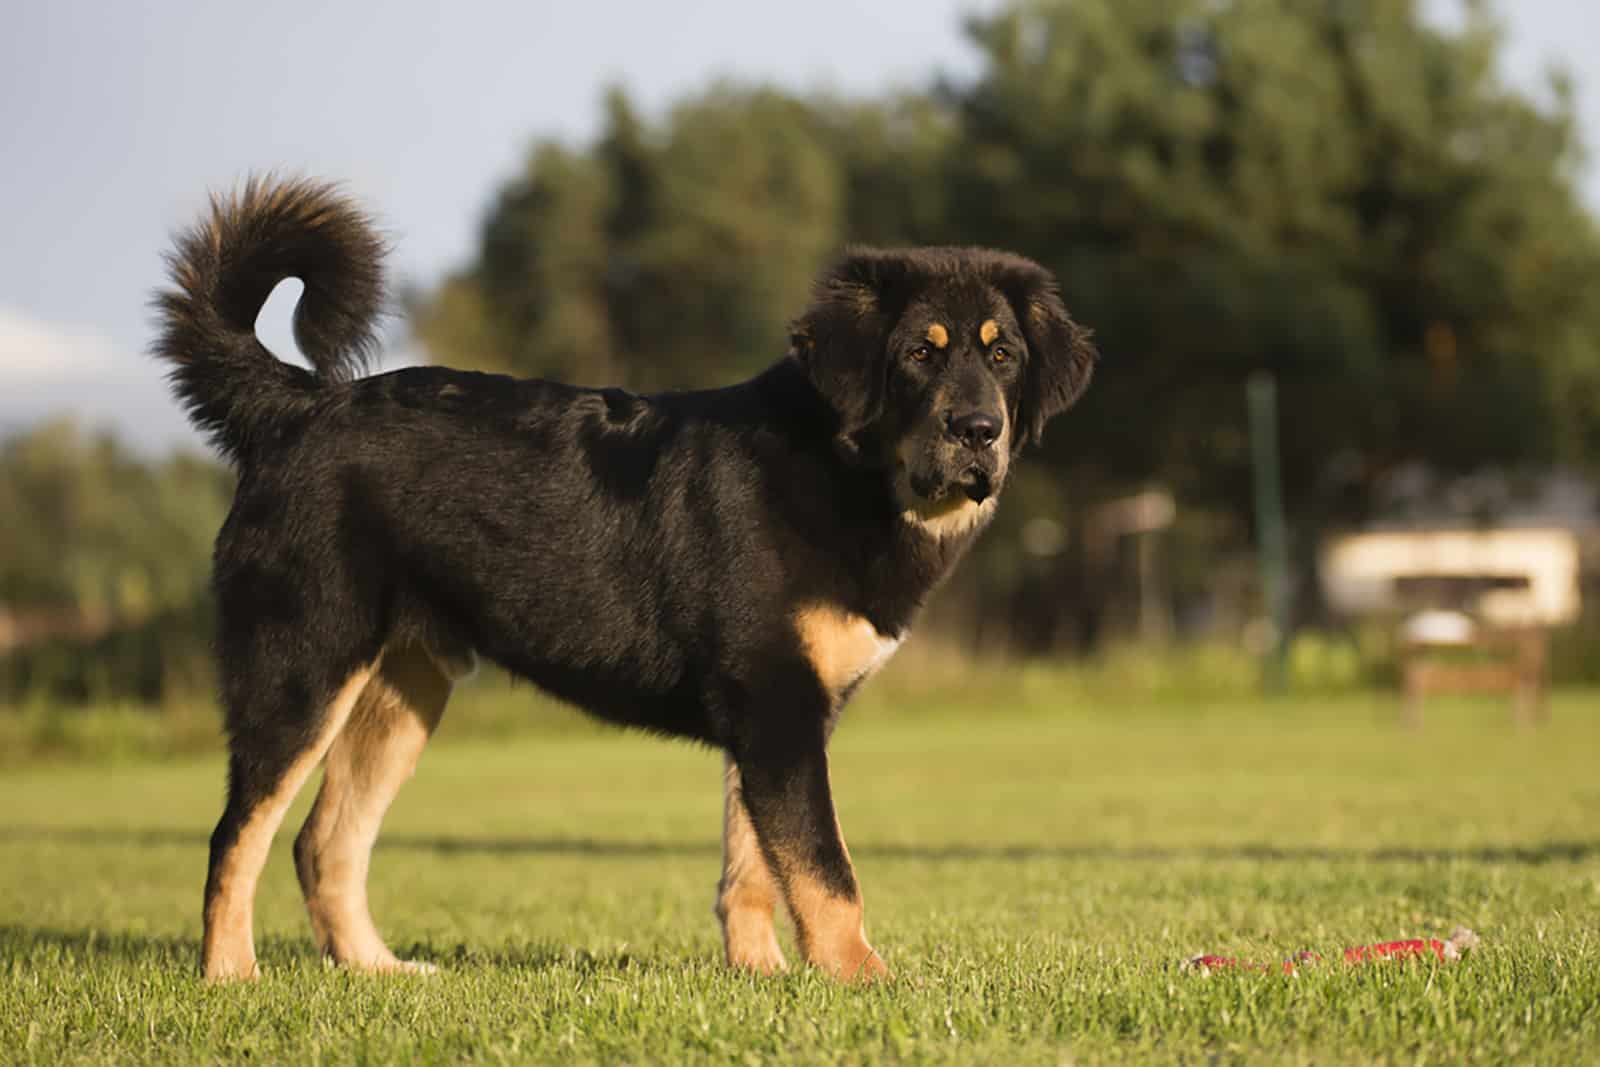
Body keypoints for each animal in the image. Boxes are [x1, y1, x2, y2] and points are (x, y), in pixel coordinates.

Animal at [150, 175, 1094, 985]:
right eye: (916, 356)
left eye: (1003, 355)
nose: (979, 431)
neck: (845, 471)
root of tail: (299, 408)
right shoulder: (778, 706)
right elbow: (826, 868)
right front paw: (866, 979)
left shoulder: (772, 717)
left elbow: (756, 865)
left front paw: (762, 975)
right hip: (302, 667)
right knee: (236, 834)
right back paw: (231, 974)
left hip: (403, 688)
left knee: (323, 842)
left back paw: (378, 971)